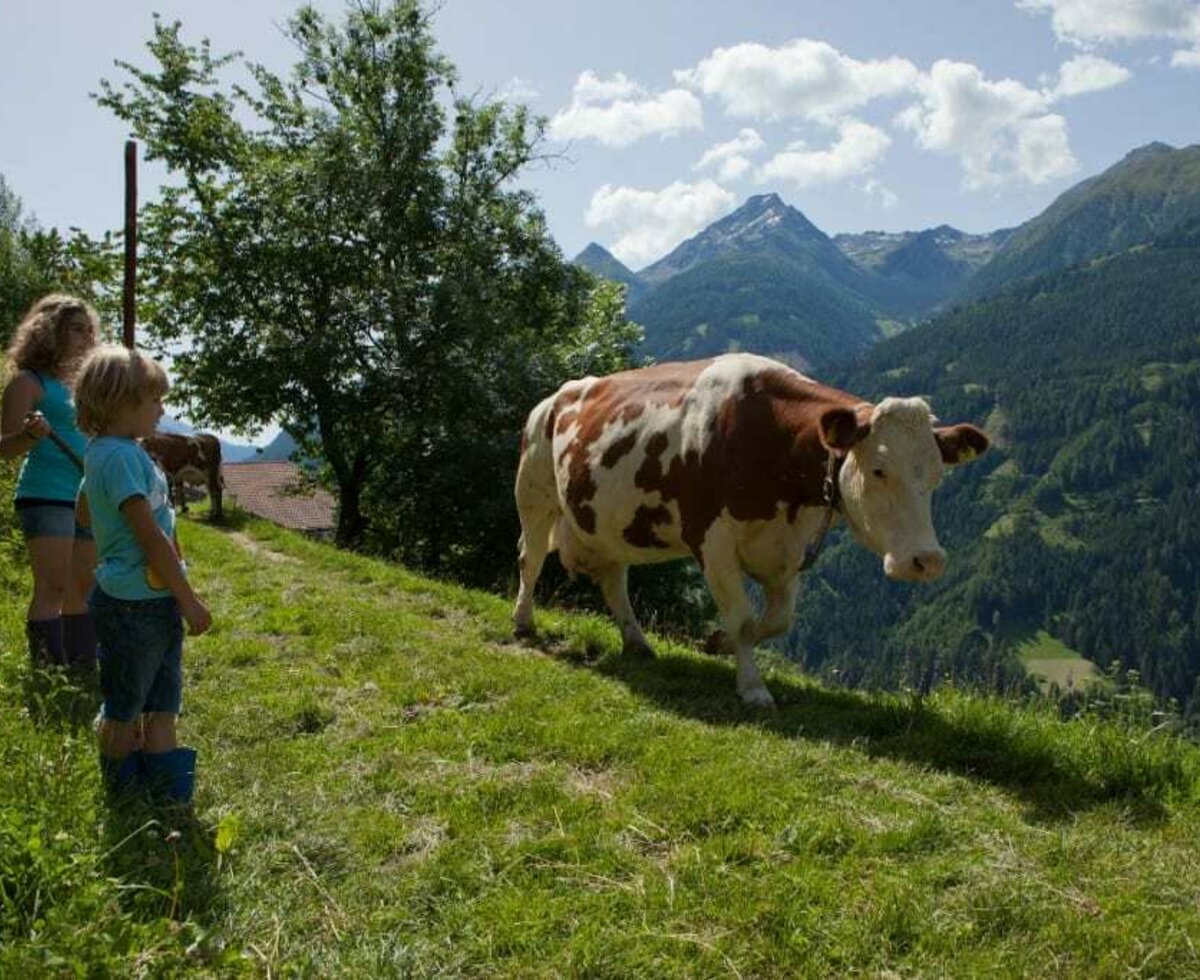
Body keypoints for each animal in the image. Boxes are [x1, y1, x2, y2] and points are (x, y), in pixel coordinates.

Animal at [511, 355, 988, 705]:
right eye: (879, 470)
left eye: (936, 476)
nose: (926, 560)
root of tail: (555, 397)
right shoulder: (712, 542)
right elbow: (743, 619)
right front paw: (753, 688)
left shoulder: (789, 548)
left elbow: (776, 621)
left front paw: (717, 643)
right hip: (535, 497)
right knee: (530, 560)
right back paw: (522, 622)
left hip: (607, 524)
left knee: (614, 582)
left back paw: (637, 643)